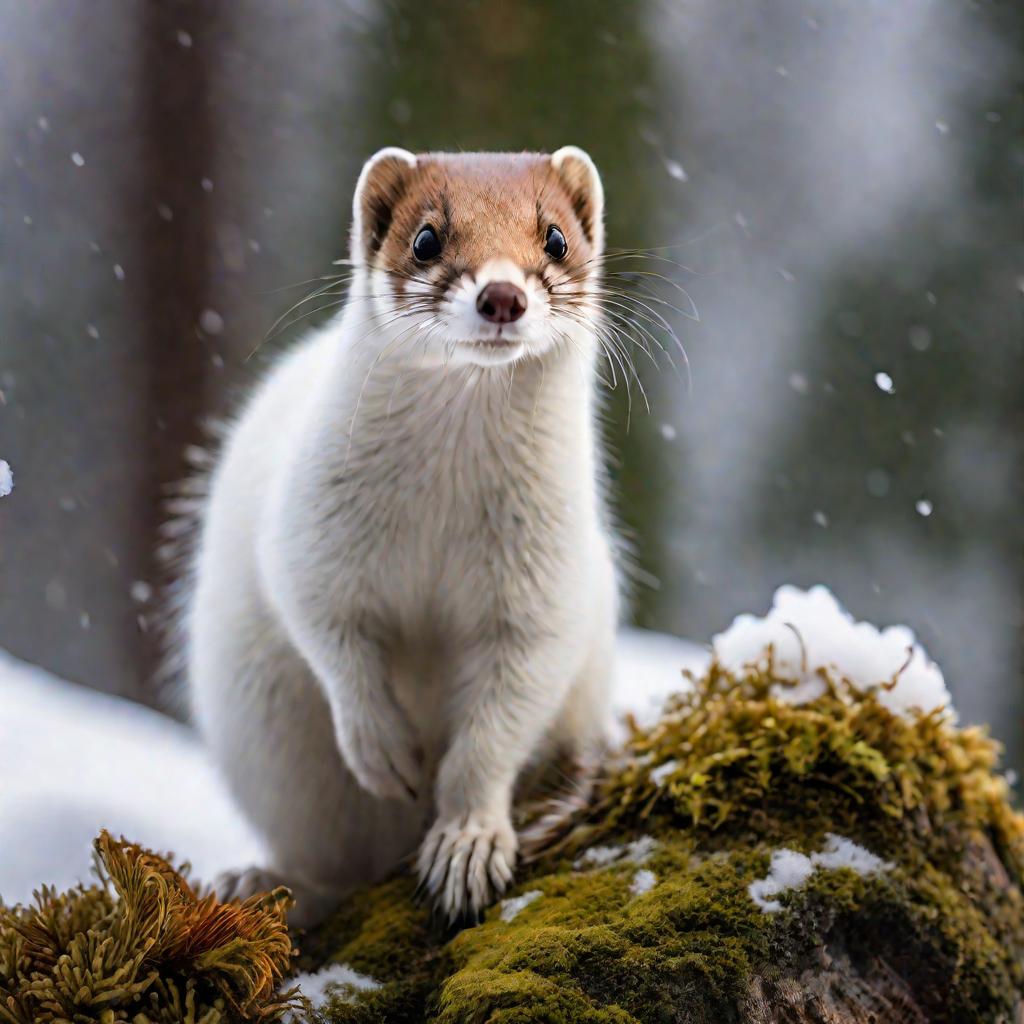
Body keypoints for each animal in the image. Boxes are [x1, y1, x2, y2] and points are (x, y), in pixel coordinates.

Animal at [188, 148, 618, 925]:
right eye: (425, 238)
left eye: (555, 238)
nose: (502, 294)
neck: (441, 514)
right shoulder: (307, 536)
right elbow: (328, 634)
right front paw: (384, 751)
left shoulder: (547, 588)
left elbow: (499, 727)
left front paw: (468, 847)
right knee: (330, 864)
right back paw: (257, 884)